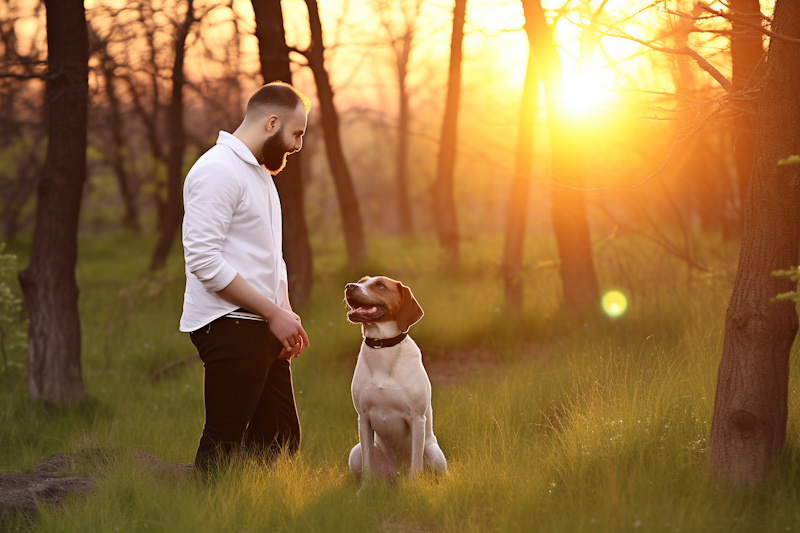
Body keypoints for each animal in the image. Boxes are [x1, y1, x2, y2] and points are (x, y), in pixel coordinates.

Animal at [342, 276, 446, 484]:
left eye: (380, 285)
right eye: (362, 281)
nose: (349, 286)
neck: (382, 348)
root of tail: (398, 474)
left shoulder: (416, 418)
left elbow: (416, 465)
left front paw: (414, 488)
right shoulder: (363, 418)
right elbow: (367, 466)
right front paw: (366, 489)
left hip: (432, 452)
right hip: (355, 452)